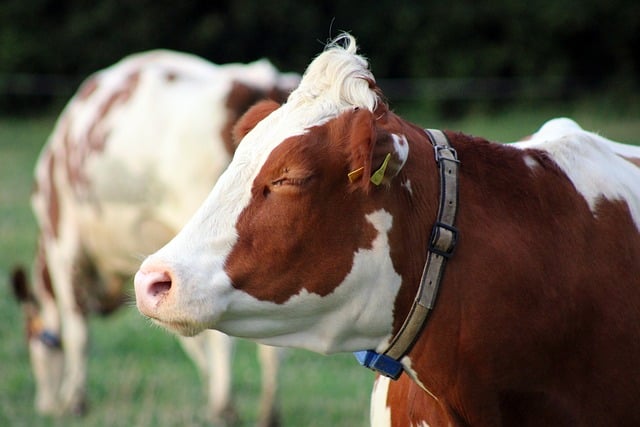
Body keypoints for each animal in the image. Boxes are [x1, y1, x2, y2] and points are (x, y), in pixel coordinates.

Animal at [10, 48, 300, 426]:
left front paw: (75, 401)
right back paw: (267, 412)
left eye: (31, 337)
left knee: (222, 338)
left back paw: (224, 408)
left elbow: (77, 332)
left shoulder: (65, 242)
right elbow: (189, 337)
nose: (45, 406)